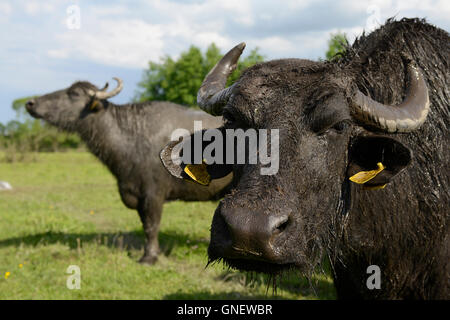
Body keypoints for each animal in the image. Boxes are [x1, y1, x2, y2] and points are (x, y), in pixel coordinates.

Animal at [26, 79, 232, 264]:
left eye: (74, 93)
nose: (30, 103)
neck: (131, 137)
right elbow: (145, 225)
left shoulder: (153, 195)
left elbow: (151, 226)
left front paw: (149, 257)